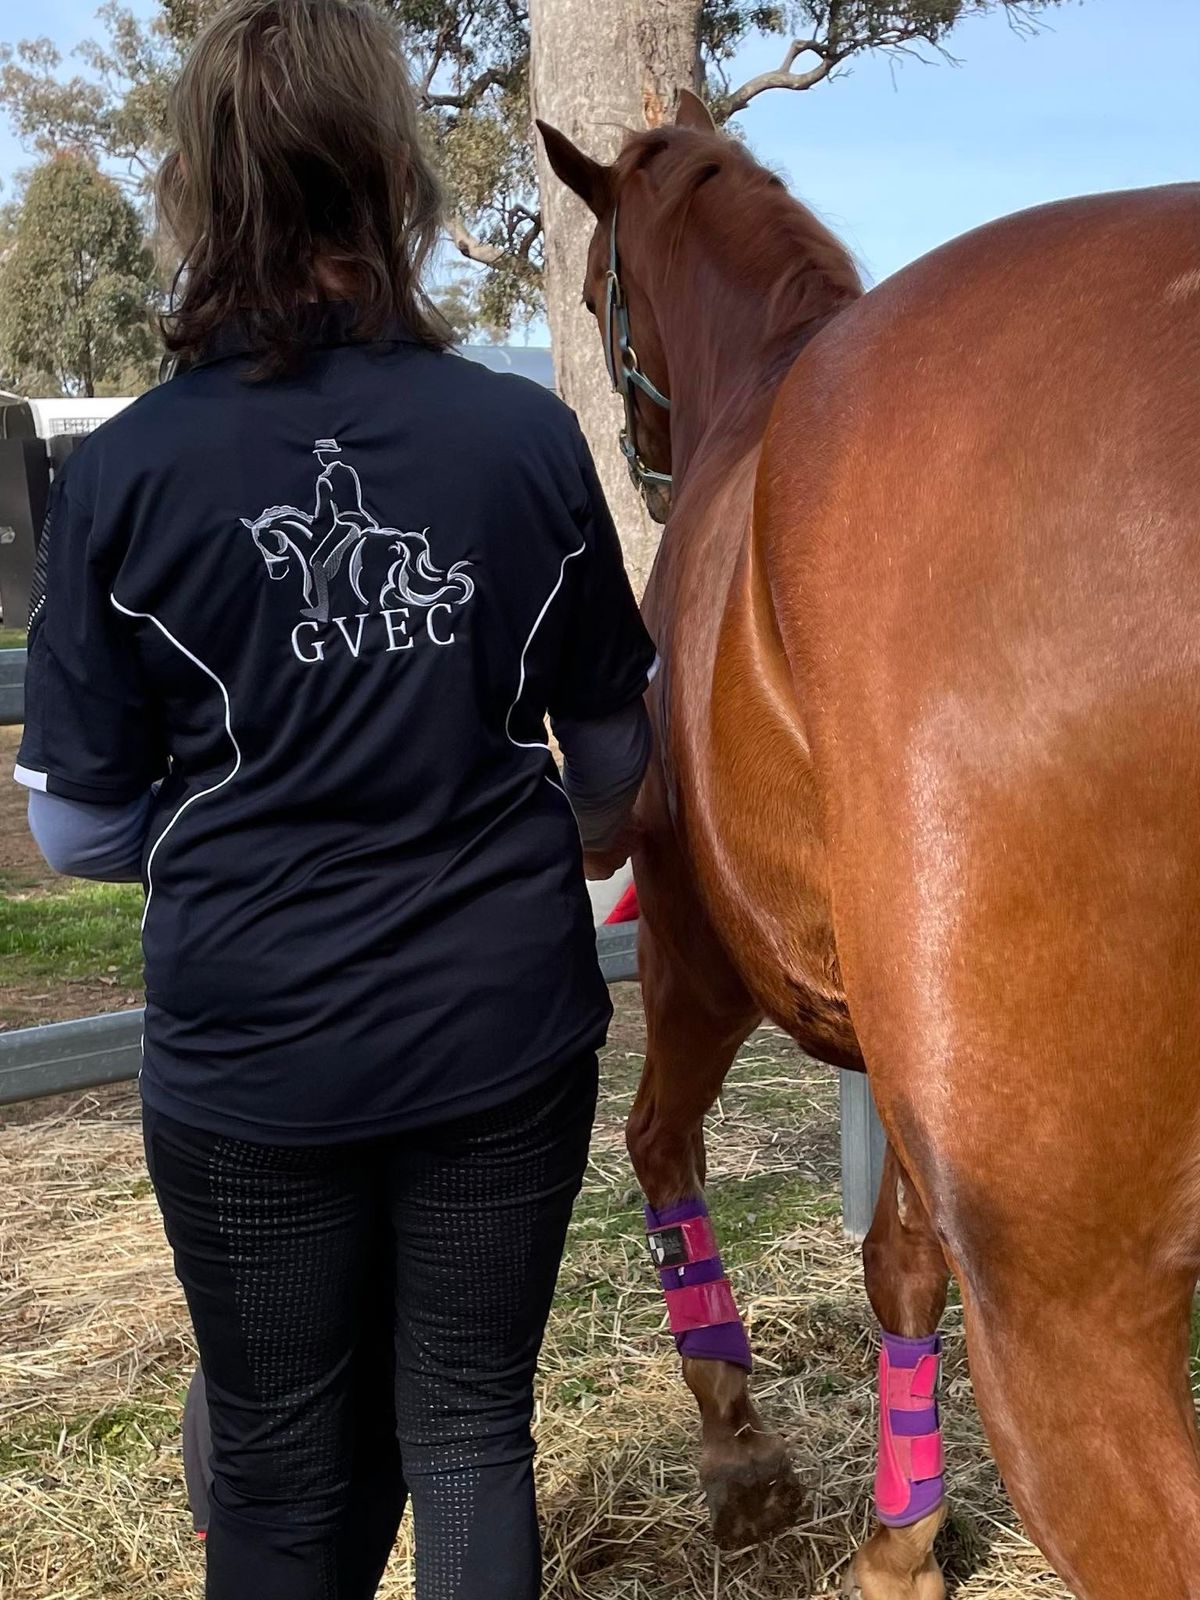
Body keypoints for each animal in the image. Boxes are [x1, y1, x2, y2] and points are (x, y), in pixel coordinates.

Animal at [544, 96, 1200, 1600]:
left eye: (605, 280)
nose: (641, 473)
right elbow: (899, 1264)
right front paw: (903, 1539)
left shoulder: (692, 958)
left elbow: (659, 1147)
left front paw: (741, 1456)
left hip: (1072, 1316)